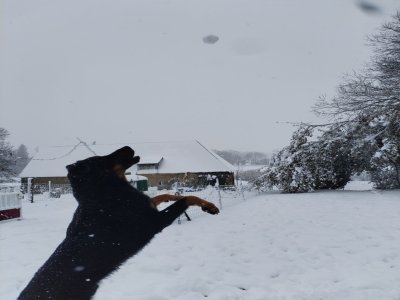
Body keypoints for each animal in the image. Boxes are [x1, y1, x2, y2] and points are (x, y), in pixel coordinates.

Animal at [18, 146, 219, 298]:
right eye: (100, 160)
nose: (128, 147)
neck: (102, 194)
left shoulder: (148, 207)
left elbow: (165, 196)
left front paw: (207, 205)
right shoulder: (155, 222)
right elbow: (186, 199)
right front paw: (210, 206)